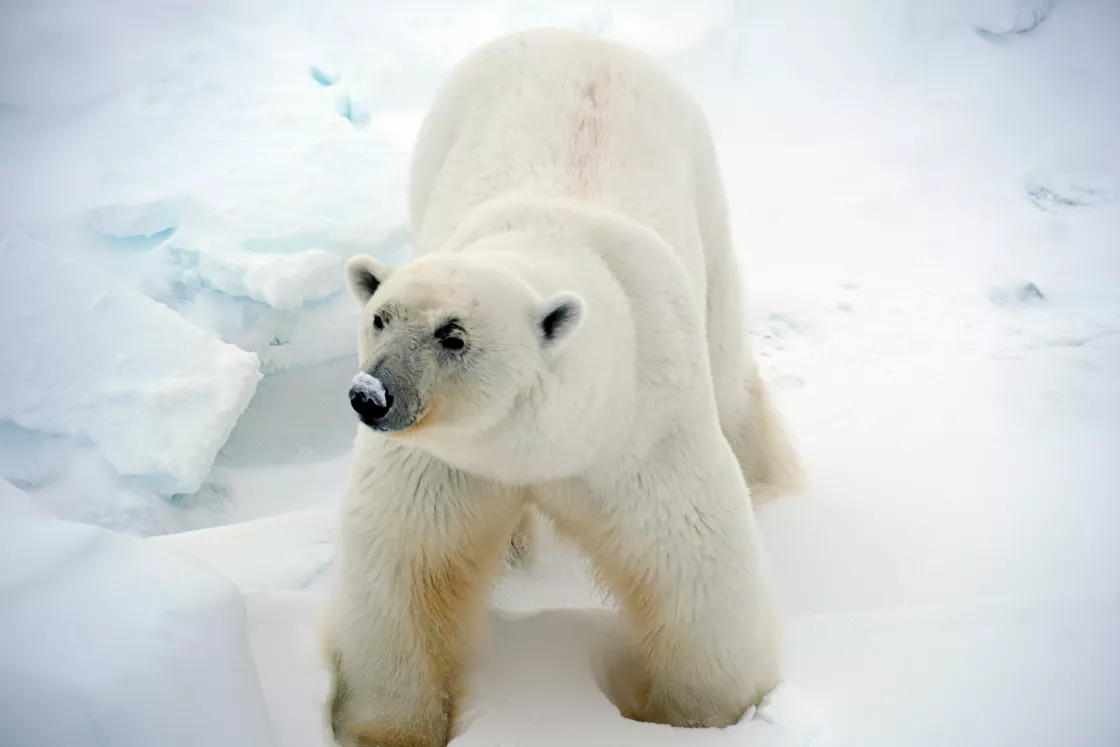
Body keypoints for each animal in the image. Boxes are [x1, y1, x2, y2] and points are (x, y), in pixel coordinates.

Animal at [324, 27, 797, 747]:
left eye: (453, 335)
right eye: (381, 317)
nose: (370, 395)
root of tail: (584, 36)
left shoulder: (645, 429)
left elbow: (696, 565)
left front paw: (700, 715)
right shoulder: (442, 460)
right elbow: (404, 559)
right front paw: (388, 725)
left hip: (706, 195)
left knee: (726, 366)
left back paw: (771, 480)